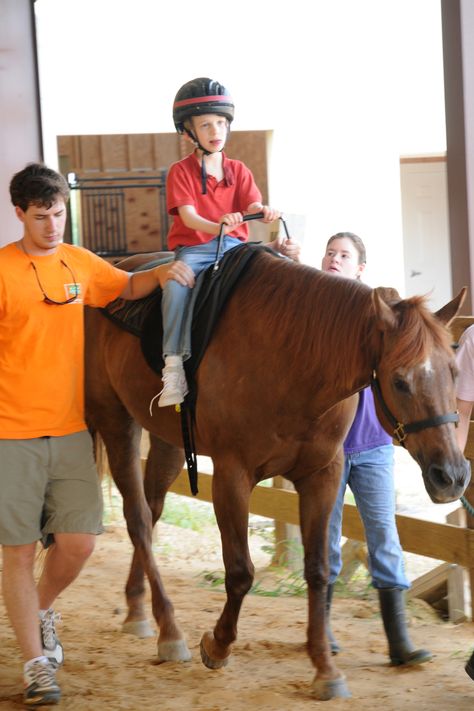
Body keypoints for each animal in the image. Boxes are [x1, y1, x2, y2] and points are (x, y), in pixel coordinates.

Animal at [85, 250, 470, 700]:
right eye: (399, 381)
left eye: (454, 371)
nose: (451, 476)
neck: (292, 358)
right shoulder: (232, 476)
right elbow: (240, 572)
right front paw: (218, 644)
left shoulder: (322, 475)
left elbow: (319, 571)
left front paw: (325, 669)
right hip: (115, 421)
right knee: (138, 520)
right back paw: (170, 630)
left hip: (169, 442)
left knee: (151, 510)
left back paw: (137, 610)